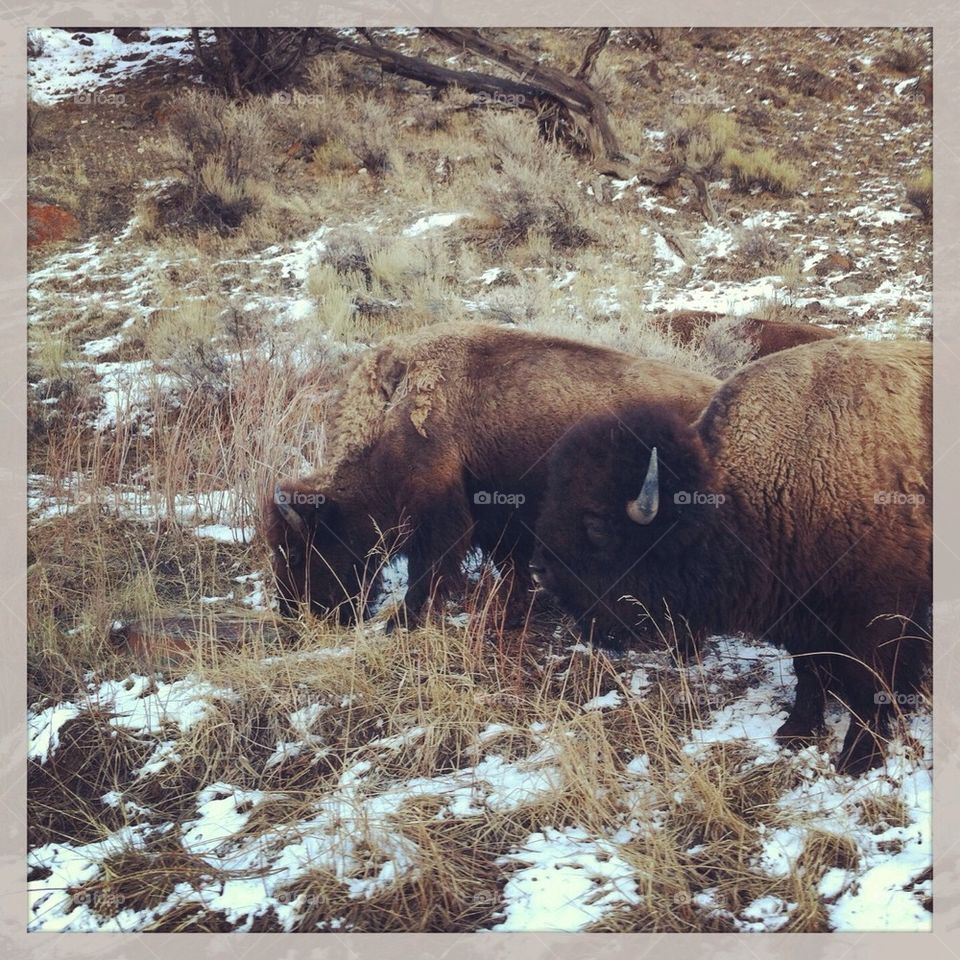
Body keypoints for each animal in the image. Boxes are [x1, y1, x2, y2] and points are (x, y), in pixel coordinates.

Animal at [265, 322, 719, 624]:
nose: (293, 610)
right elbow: (508, 564)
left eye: (297, 551)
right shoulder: (493, 517)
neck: (389, 420)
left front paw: (402, 621)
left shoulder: (438, 514)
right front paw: (513, 606)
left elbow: (426, 570)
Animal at [532, 338, 931, 773]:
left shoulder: (877, 613)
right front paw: (794, 731)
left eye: (597, 526)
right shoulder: (803, 611)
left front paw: (859, 757)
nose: (542, 572)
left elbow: (867, 681)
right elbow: (808, 670)